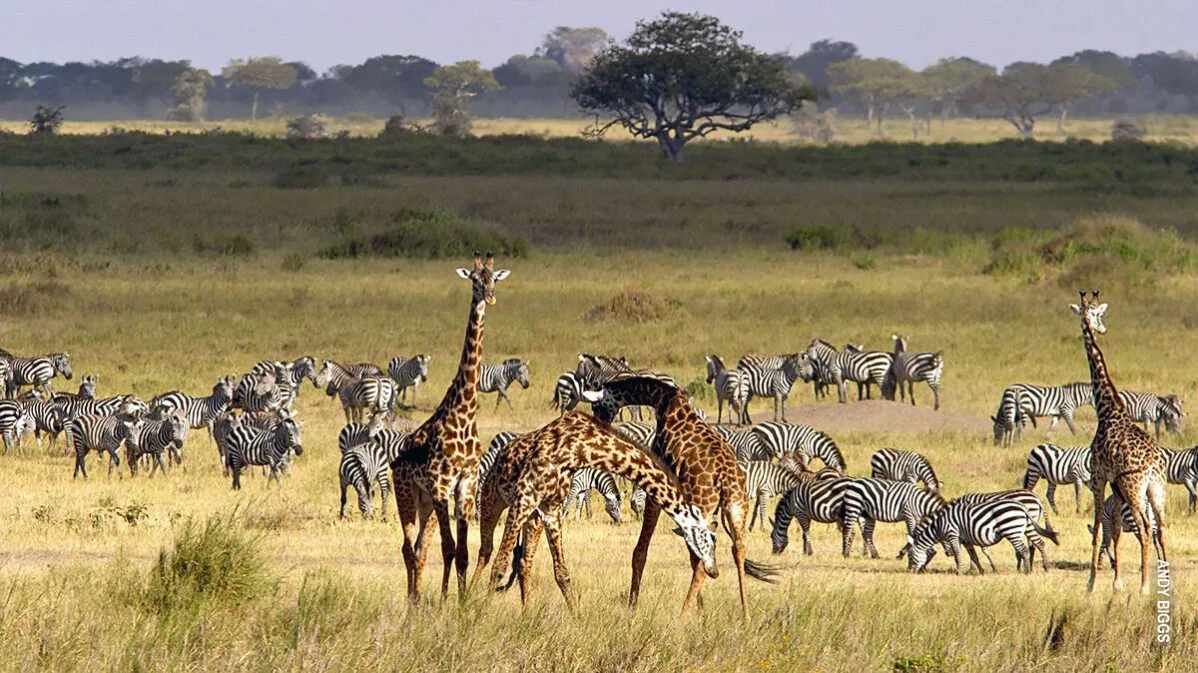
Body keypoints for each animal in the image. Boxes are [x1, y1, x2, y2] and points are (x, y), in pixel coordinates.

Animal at [392, 251, 510, 601]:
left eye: (494, 278)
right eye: (474, 279)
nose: (490, 296)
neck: (465, 412)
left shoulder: (465, 485)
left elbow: (462, 552)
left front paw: (460, 601)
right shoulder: (441, 483)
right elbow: (449, 548)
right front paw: (446, 601)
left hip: (426, 504)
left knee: (420, 548)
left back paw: (417, 599)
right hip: (407, 494)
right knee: (408, 548)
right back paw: (413, 601)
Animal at [468, 412, 716, 610]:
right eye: (706, 539)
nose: (713, 571)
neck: (581, 449)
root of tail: (501, 453)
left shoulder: (550, 509)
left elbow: (562, 572)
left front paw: (576, 617)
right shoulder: (524, 499)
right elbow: (499, 565)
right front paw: (481, 615)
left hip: (533, 518)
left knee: (524, 562)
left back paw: (526, 613)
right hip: (493, 499)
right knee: (486, 551)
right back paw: (466, 600)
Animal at [583, 371, 777, 616]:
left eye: (596, 405)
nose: (599, 424)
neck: (662, 400)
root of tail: (725, 478)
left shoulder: (656, 488)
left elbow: (640, 552)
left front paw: (631, 609)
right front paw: (702, 613)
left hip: (704, 505)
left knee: (703, 558)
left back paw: (682, 616)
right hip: (736, 506)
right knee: (737, 550)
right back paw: (746, 615)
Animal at [906, 498, 1051, 575]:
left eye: (910, 556)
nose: (910, 572)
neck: (938, 526)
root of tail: (1022, 507)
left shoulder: (953, 535)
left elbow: (957, 556)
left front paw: (958, 572)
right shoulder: (965, 540)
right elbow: (974, 556)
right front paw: (981, 571)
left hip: (1011, 530)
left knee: (1023, 549)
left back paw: (1027, 571)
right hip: (1028, 527)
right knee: (1040, 544)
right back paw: (1046, 567)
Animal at [1071, 290, 1168, 594]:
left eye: (1098, 314)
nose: (1101, 328)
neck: (1107, 409)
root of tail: (1153, 463)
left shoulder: (1098, 475)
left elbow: (1097, 529)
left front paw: (1091, 584)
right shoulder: (1115, 483)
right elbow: (1113, 528)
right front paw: (1116, 582)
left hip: (1134, 487)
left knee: (1145, 528)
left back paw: (1145, 587)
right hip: (1157, 489)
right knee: (1162, 528)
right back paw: (1163, 582)